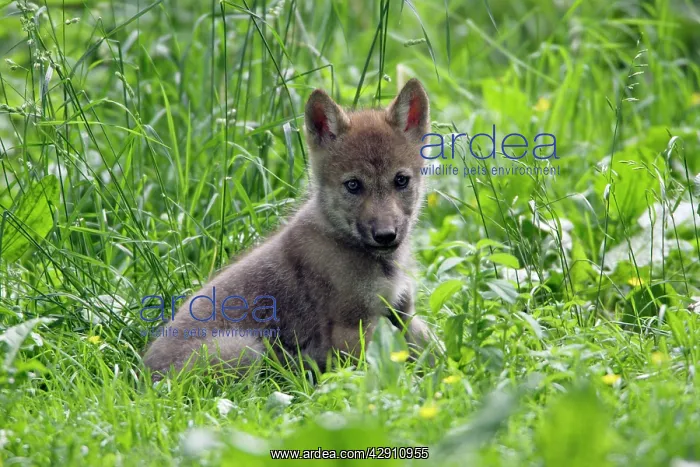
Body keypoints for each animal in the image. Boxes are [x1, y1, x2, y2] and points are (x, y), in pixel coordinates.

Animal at [143, 78, 433, 377]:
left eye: (401, 180)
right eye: (353, 185)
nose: (386, 236)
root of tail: (144, 378)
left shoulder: (403, 311)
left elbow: (431, 351)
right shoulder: (352, 328)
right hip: (246, 348)